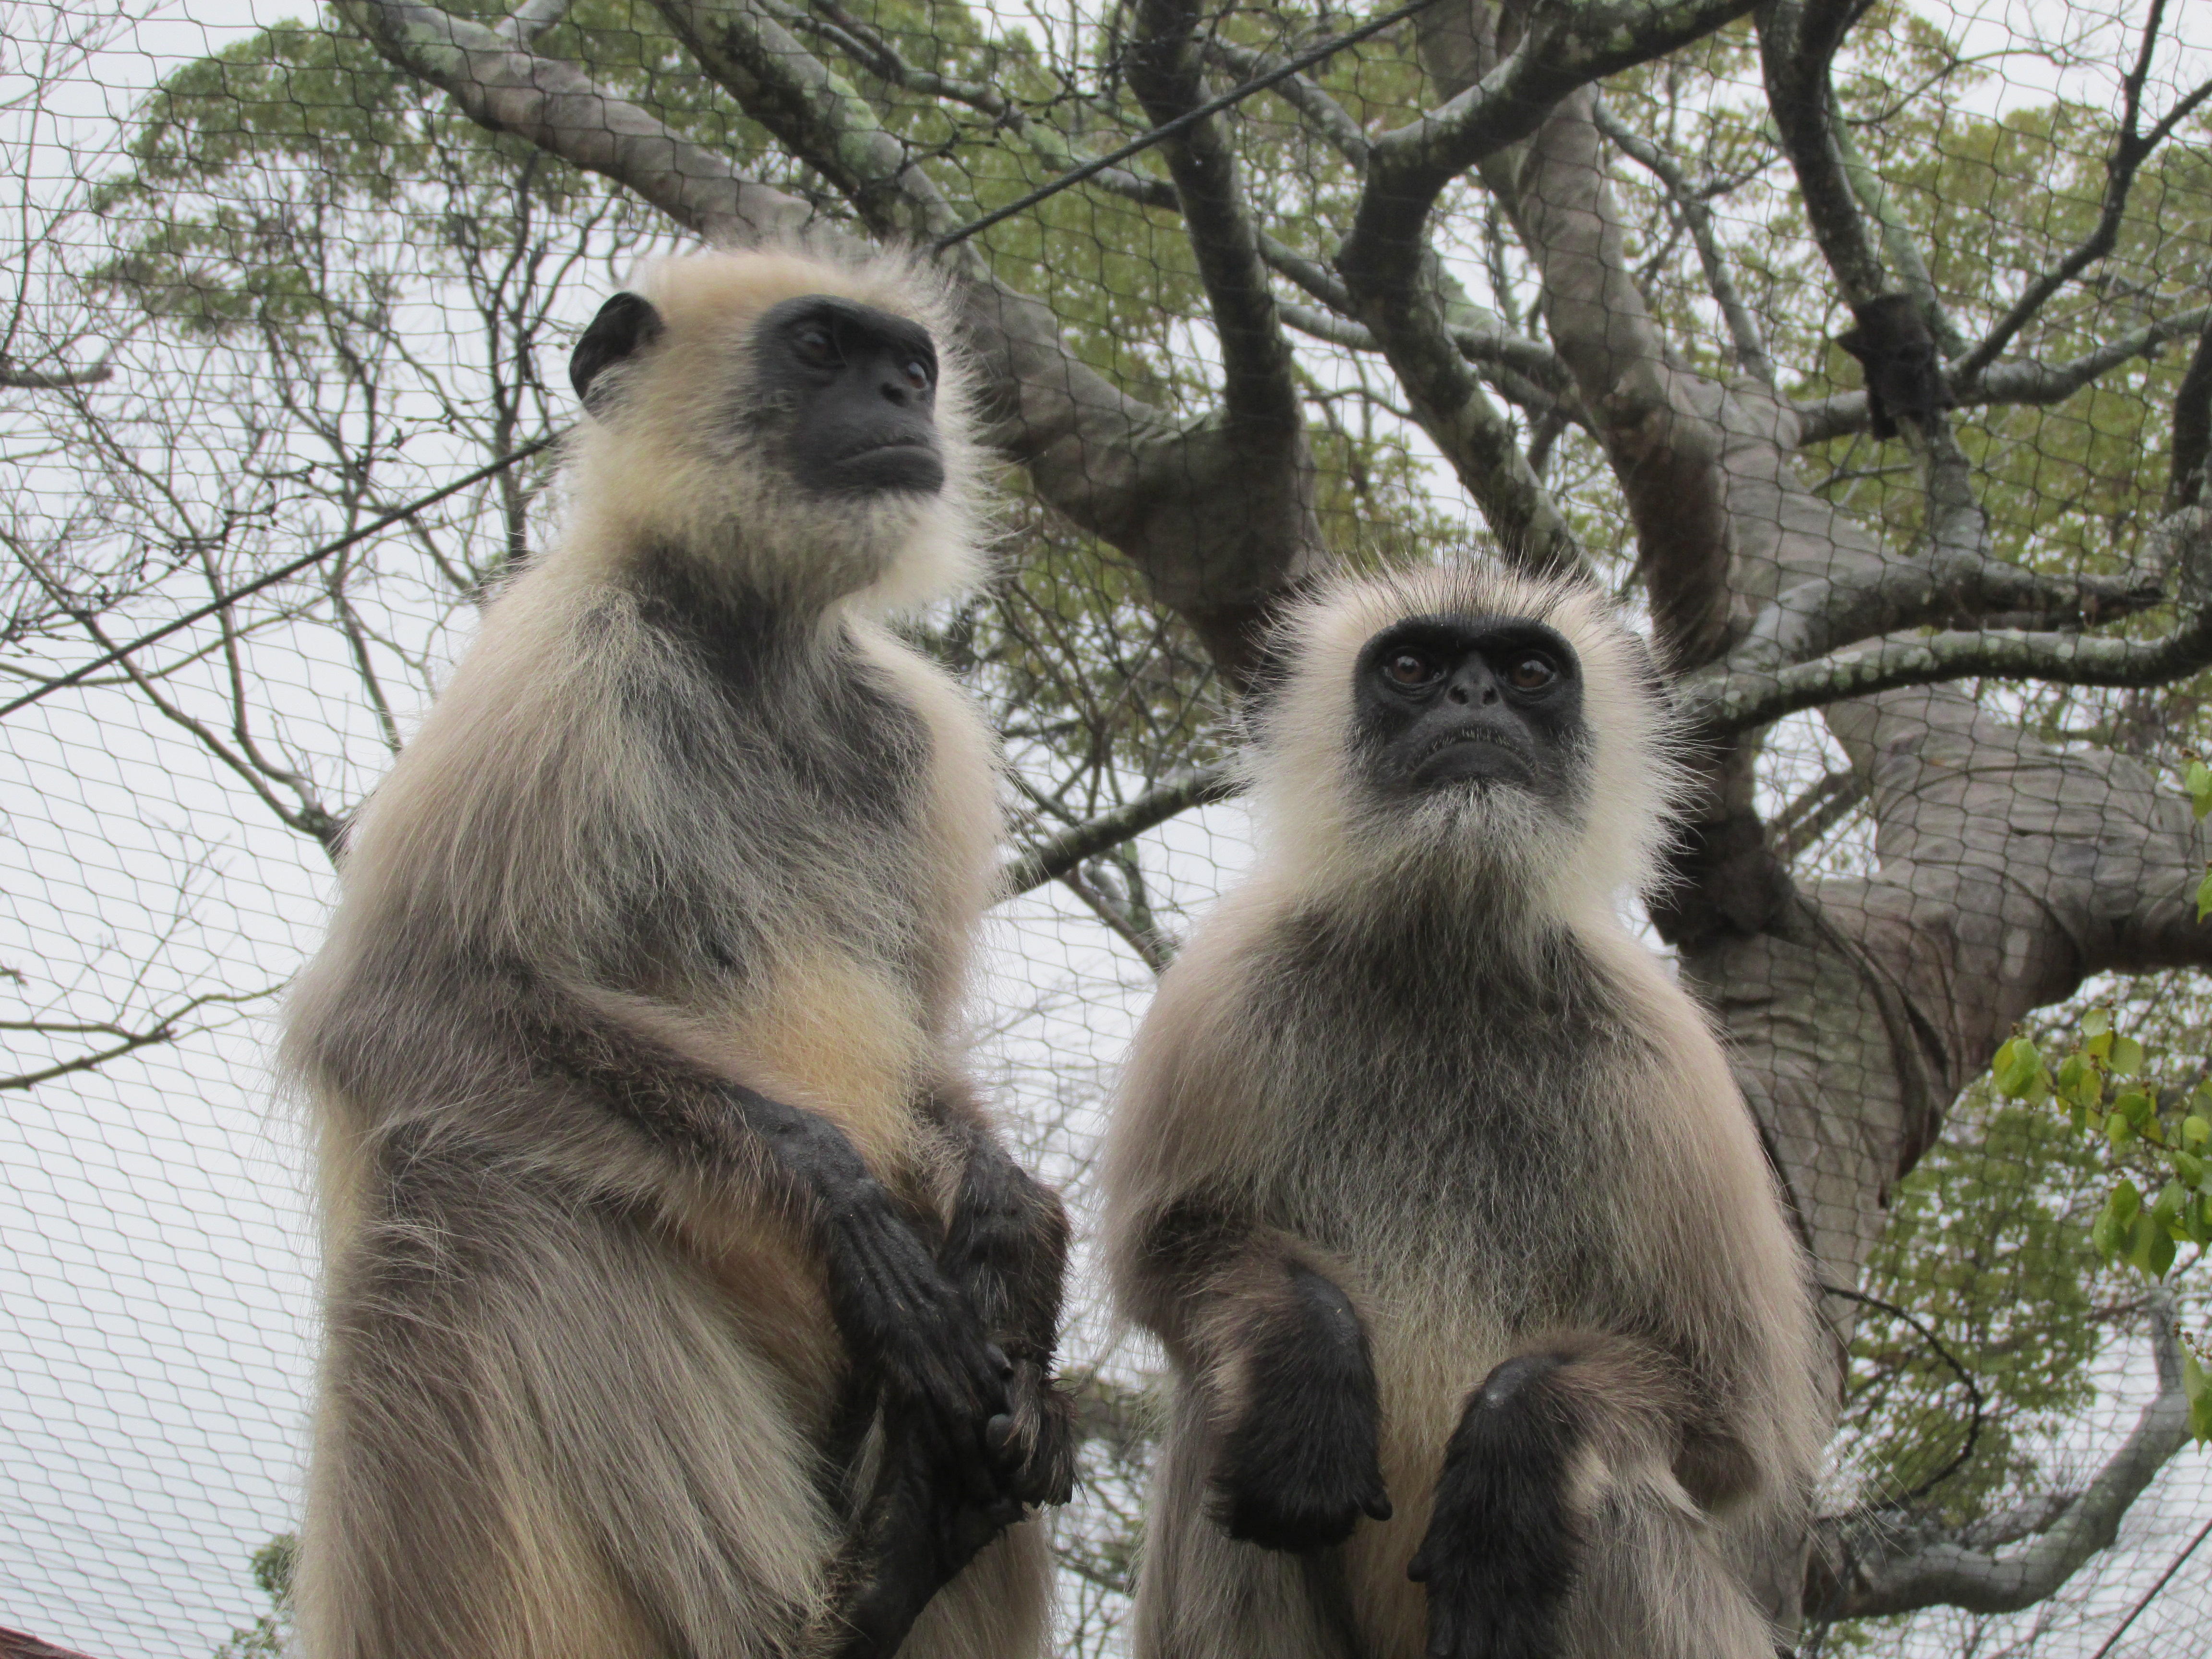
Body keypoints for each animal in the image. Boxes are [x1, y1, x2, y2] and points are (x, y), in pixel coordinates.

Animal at [285, 246, 1079, 1659]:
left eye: (909, 365)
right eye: (819, 349)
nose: (898, 399)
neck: (752, 643)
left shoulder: (910, 728)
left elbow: (934, 1074)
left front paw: (1011, 1211)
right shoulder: (564, 659)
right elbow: (389, 1006)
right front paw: (837, 1199)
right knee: (475, 1190)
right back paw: (831, 1605)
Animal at [1097, 566, 1822, 1654]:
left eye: (1527, 674)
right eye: (1410, 667)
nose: (1472, 700)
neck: (1448, 950)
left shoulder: (1668, 1068)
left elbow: (1731, 1433)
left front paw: (1522, 1427)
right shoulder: (1232, 987)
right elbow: (1164, 1260)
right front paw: (1312, 1345)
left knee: (1612, 1500)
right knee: (1230, 1405)